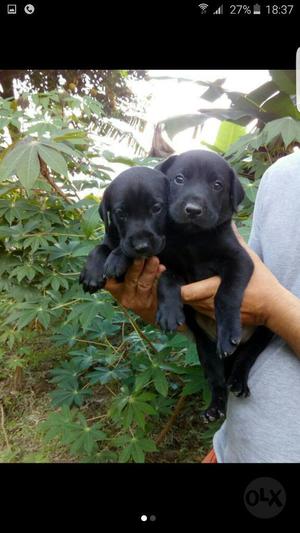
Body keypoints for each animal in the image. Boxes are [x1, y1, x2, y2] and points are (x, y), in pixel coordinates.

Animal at [156, 149, 274, 420]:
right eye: (179, 179)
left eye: (217, 185)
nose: (192, 210)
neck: (193, 238)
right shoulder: (168, 262)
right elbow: (167, 279)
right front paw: (169, 311)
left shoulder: (240, 261)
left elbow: (226, 294)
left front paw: (228, 331)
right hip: (206, 351)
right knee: (217, 381)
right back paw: (215, 407)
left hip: (263, 333)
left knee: (245, 359)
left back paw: (238, 381)